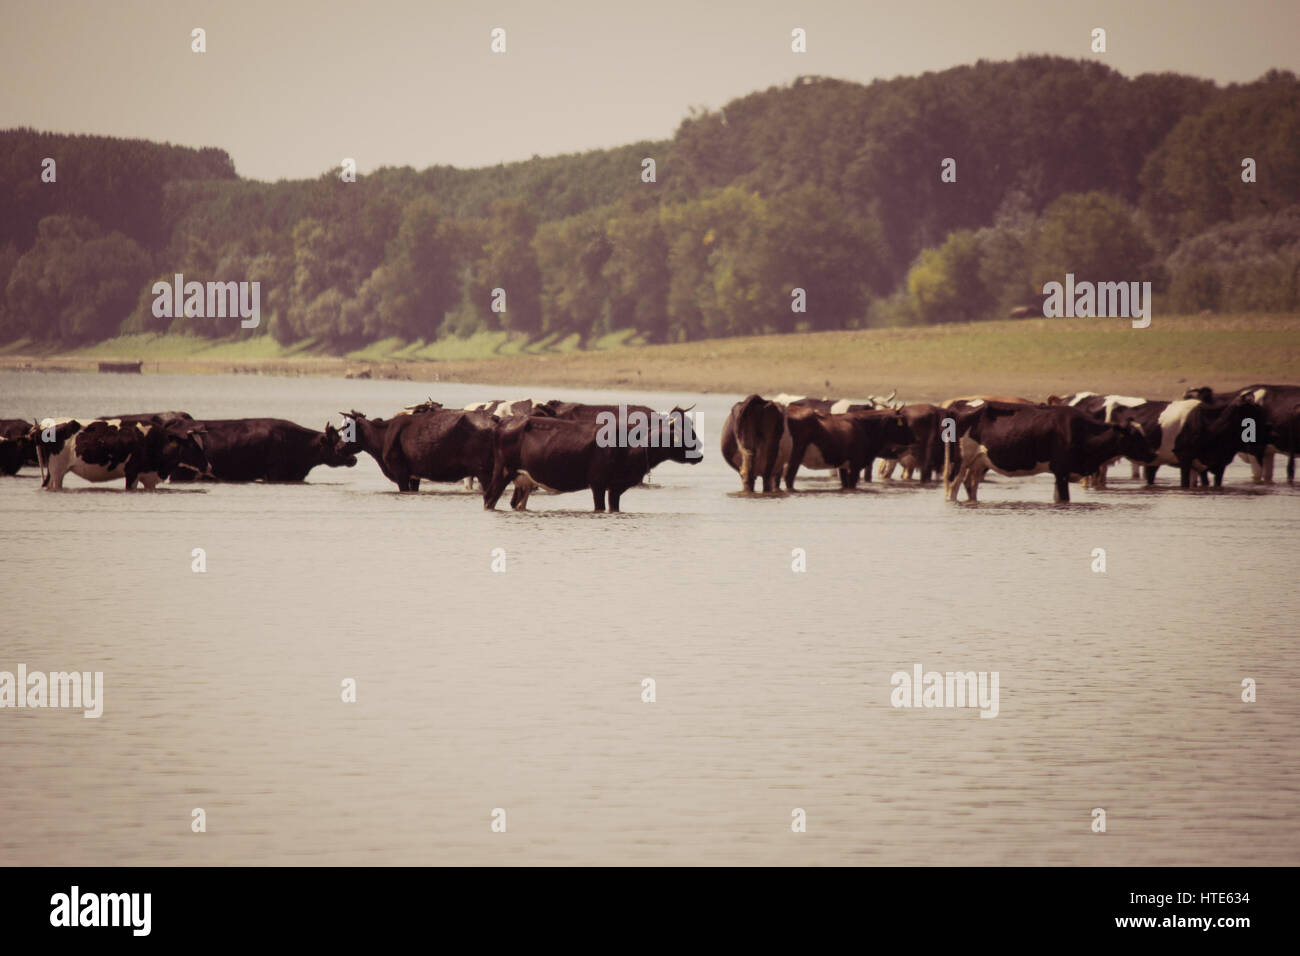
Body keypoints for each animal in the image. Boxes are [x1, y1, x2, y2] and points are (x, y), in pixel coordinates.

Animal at [483, 413, 702, 515]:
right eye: (680, 435)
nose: (700, 454)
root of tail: (504, 419)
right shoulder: (597, 483)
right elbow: (600, 507)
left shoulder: (616, 487)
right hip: (502, 472)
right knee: (489, 499)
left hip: (523, 480)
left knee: (516, 503)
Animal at [780, 408, 915, 489]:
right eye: (903, 423)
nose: (914, 438)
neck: (863, 426)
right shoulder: (855, 465)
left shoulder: (843, 466)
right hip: (795, 458)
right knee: (789, 478)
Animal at [946, 403, 1149, 504]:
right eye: (1134, 436)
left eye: (1142, 434)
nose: (1151, 454)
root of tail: (959, 411)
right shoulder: (1062, 470)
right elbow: (1064, 498)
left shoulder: (1060, 472)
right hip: (960, 461)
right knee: (952, 487)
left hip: (979, 463)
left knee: (970, 484)